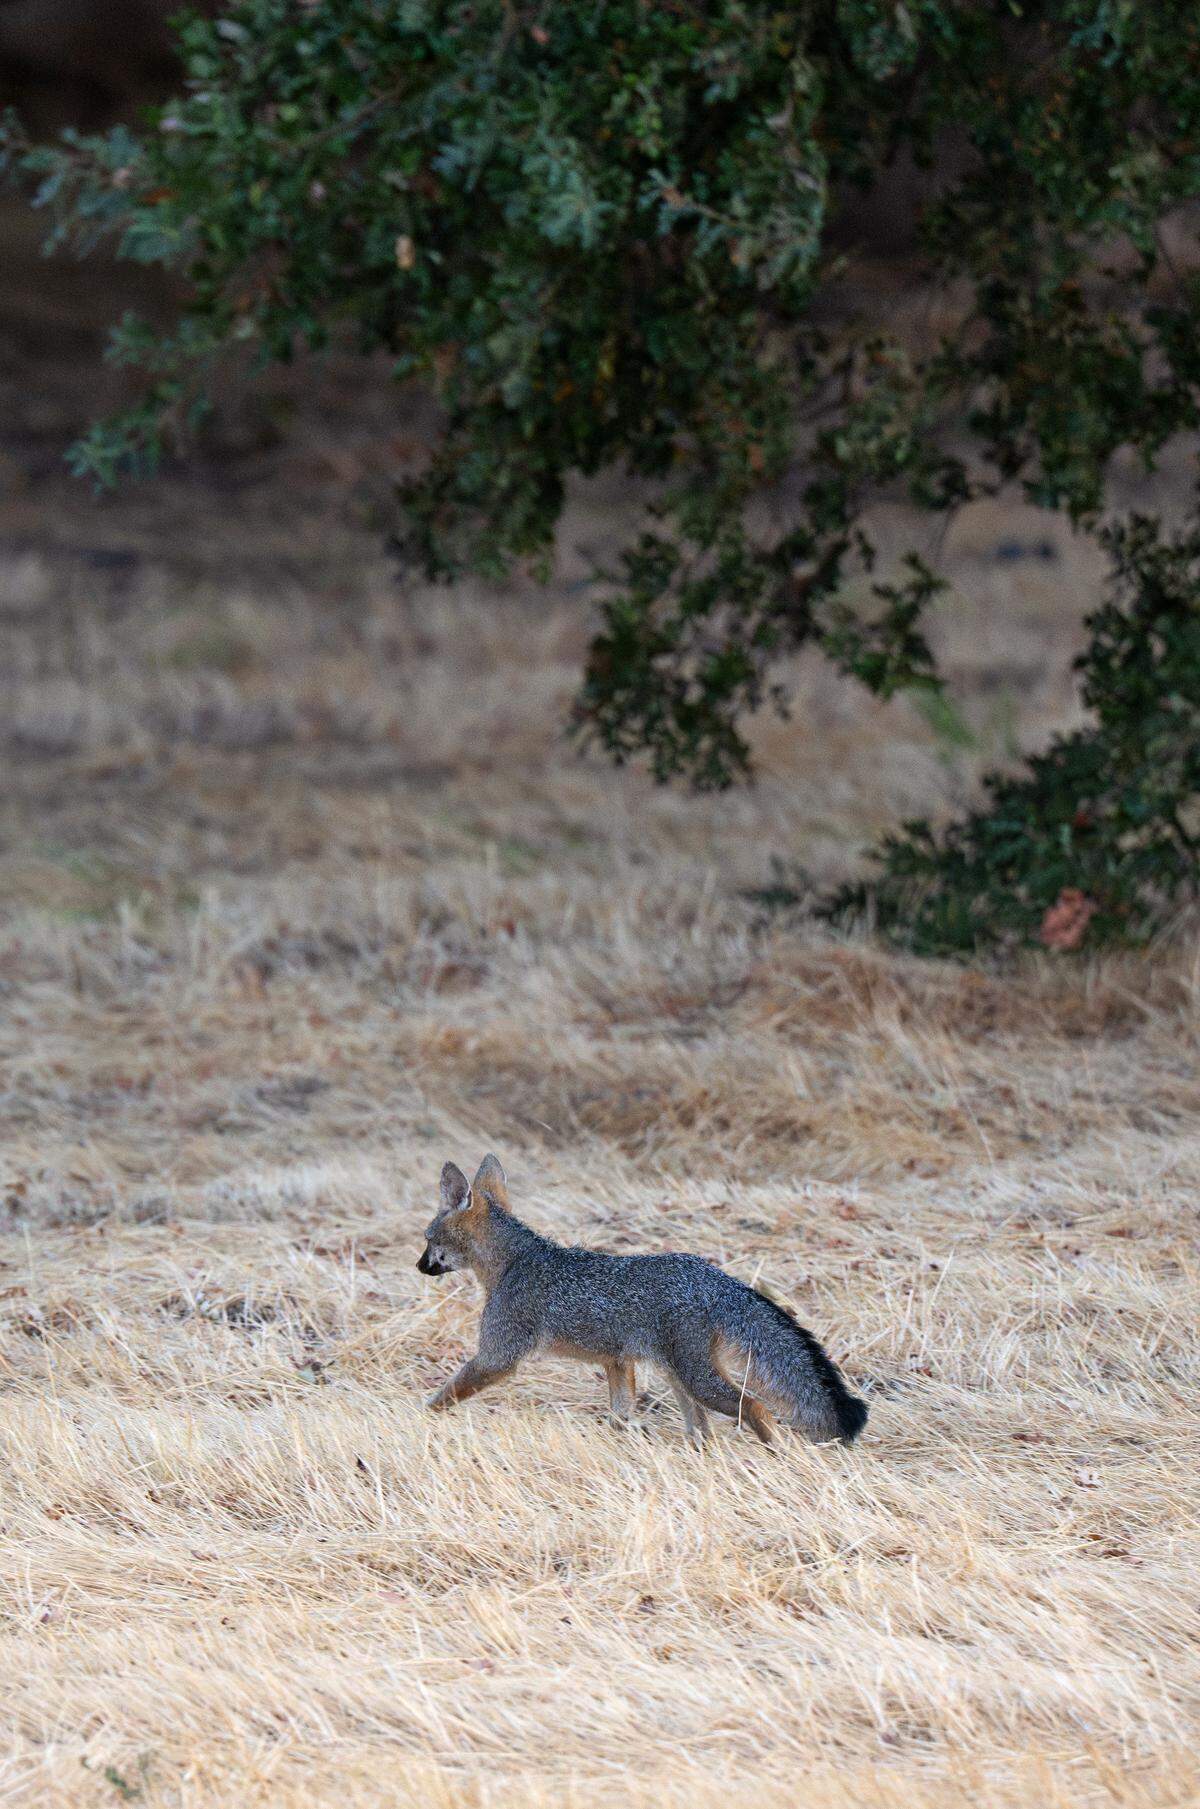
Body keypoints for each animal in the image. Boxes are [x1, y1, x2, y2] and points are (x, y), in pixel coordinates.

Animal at [416, 1153, 867, 1447]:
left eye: (428, 1239)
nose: (419, 1266)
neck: (514, 1261)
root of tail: (717, 1278)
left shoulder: (498, 1355)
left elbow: (447, 1393)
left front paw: (419, 1418)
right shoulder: (618, 1361)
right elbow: (620, 1414)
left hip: (697, 1380)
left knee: (754, 1407)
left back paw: (775, 1453)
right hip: (680, 1378)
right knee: (704, 1429)